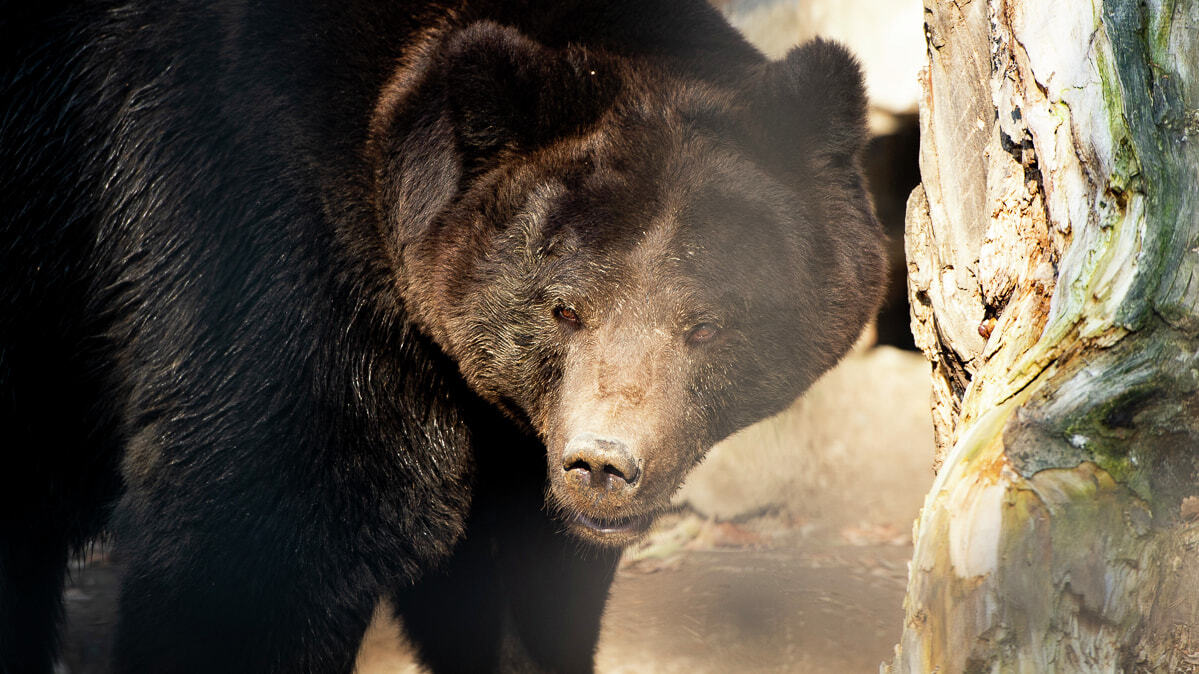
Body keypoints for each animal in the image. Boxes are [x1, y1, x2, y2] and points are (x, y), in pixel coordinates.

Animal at [0, 0, 882, 666]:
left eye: (702, 324)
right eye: (565, 308)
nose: (601, 465)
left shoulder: (505, 440)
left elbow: (519, 591)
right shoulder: (257, 259)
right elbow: (254, 544)